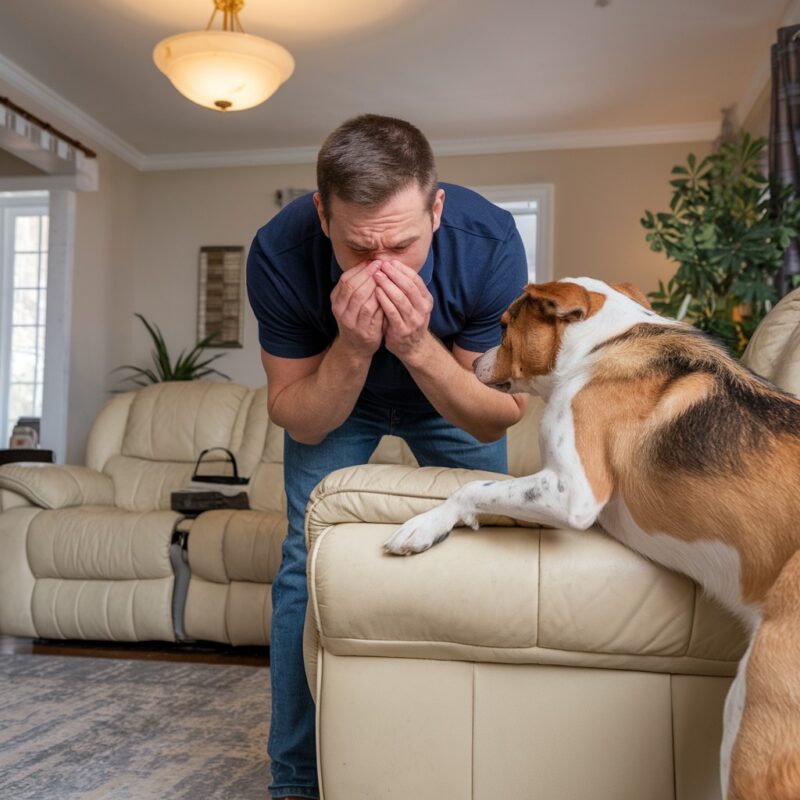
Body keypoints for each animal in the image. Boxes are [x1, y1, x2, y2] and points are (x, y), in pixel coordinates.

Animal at [382, 278, 800, 796]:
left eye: (503, 327)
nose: (474, 361)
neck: (602, 344)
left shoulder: (572, 492)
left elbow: (471, 487)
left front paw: (425, 525)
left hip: (753, 718)